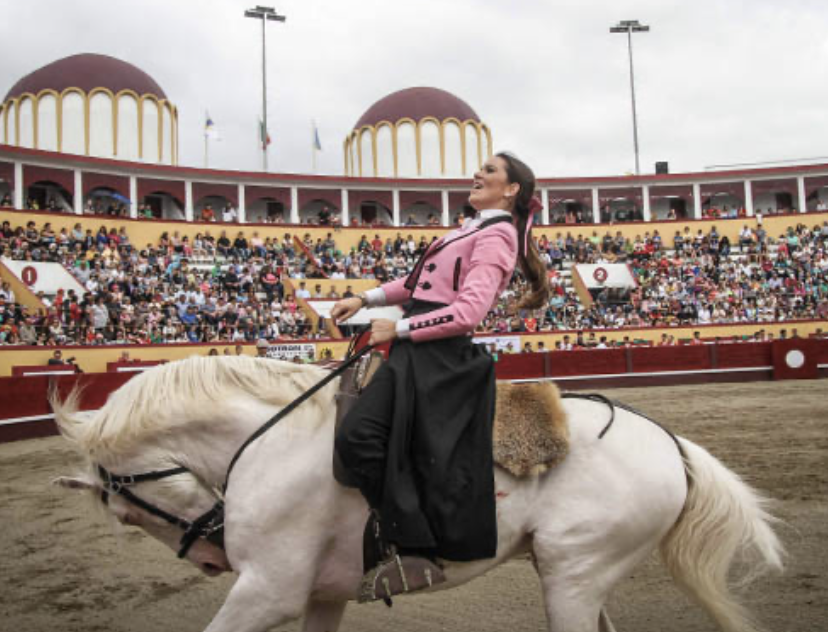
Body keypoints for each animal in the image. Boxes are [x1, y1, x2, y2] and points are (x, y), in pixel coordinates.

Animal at [53, 356, 784, 632]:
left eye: (126, 511)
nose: (213, 558)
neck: (271, 435)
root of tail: (669, 443)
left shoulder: (267, 590)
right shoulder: (318, 595)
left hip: (573, 576)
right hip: (582, 576)